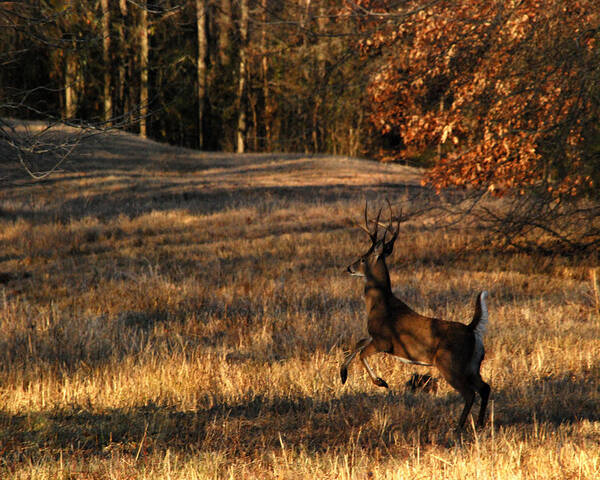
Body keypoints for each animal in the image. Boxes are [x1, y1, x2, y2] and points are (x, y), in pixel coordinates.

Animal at [340, 202, 490, 432]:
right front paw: (342, 375)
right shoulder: (373, 335)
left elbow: (362, 353)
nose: (349, 267)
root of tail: (472, 329)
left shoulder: (384, 341)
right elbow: (357, 344)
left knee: (470, 393)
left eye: (363, 258)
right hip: (473, 364)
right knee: (485, 388)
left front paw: (381, 382)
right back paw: (480, 424)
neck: (380, 305)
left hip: (450, 363)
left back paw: (457, 428)